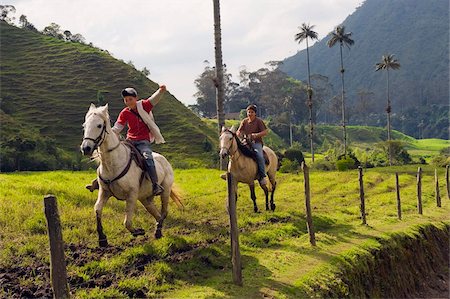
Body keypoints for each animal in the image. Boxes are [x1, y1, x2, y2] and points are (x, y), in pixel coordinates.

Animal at [81, 104, 181, 247]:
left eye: (99, 125)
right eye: (85, 126)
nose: (86, 148)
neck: (113, 163)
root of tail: (166, 161)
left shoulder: (131, 195)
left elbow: (127, 222)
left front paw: (138, 231)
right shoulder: (104, 192)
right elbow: (97, 209)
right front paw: (102, 239)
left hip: (165, 190)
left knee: (164, 211)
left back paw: (158, 232)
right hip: (145, 198)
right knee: (156, 213)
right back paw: (158, 230)